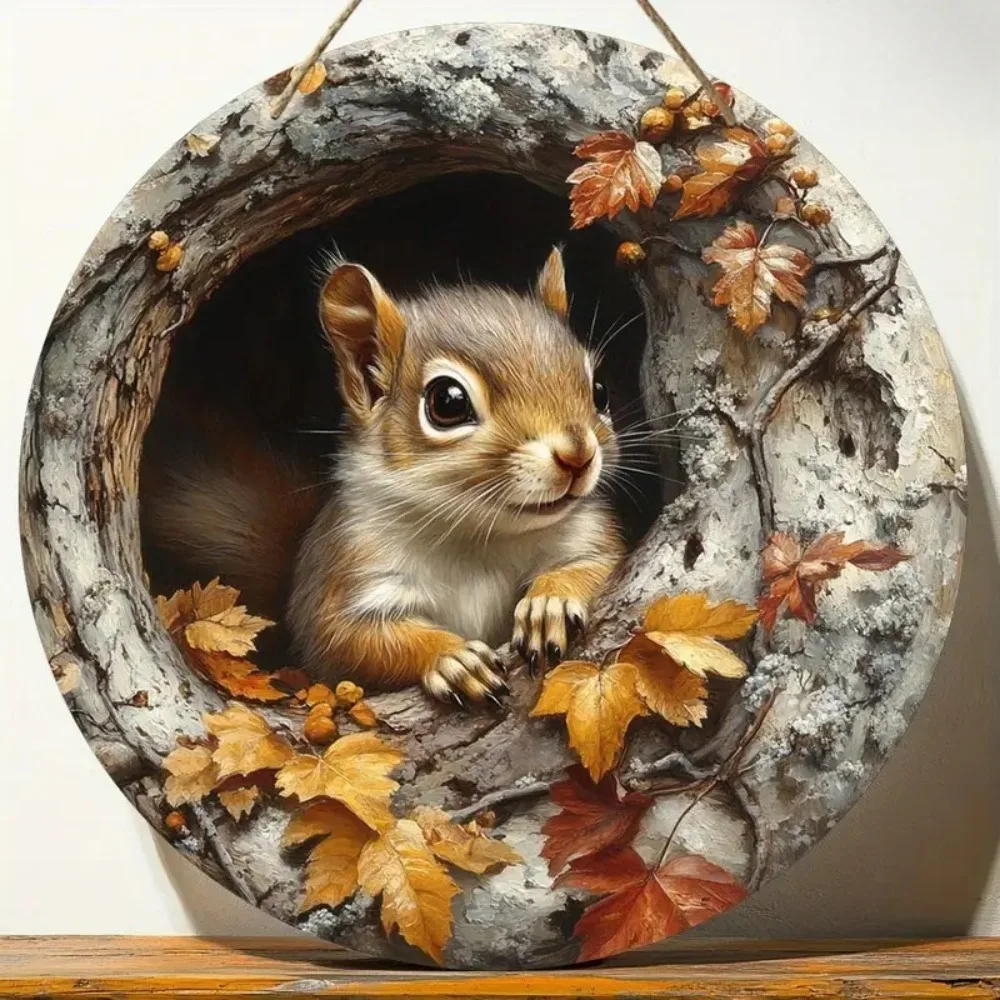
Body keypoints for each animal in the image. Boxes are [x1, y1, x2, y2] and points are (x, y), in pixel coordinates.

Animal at [143, 247, 624, 706]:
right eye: (448, 402)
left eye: (600, 390)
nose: (578, 455)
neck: (477, 535)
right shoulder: (351, 568)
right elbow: (349, 640)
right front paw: (451, 658)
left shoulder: (586, 534)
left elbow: (601, 563)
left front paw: (551, 601)